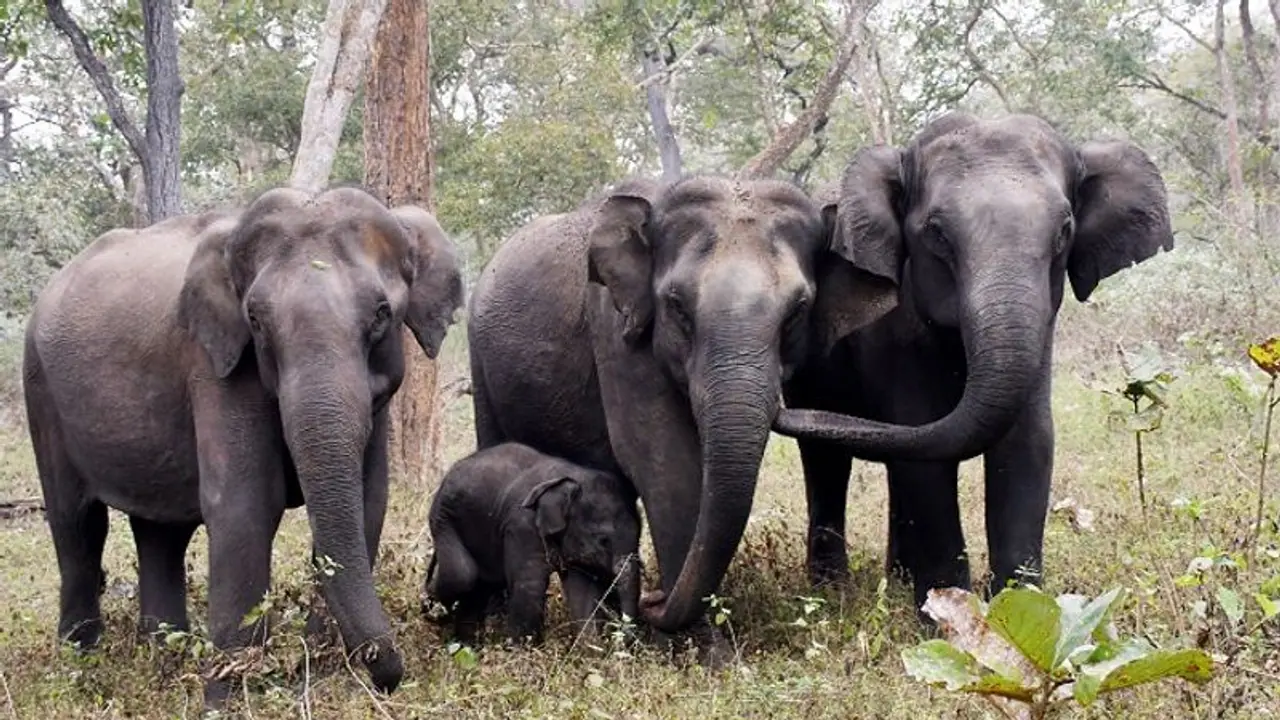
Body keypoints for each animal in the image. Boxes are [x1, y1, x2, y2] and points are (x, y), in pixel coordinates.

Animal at [22, 185, 464, 706]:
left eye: (381, 315)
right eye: (255, 319)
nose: (389, 674)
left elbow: (368, 501)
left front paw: (322, 678)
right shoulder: (217, 366)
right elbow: (246, 506)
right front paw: (230, 700)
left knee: (159, 533)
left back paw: (166, 658)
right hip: (40, 389)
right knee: (77, 523)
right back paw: (81, 665)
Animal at [424, 442, 643, 645]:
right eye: (603, 540)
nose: (620, 641)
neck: (572, 479)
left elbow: (583, 591)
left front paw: (589, 649)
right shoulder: (523, 527)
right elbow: (530, 585)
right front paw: (520, 649)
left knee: (481, 585)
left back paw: (466, 645)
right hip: (443, 517)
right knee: (462, 574)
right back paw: (433, 610)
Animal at [466, 174, 913, 648]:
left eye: (798, 310)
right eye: (677, 305)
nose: (652, 601)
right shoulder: (617, 331)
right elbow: (664, 464)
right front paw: (708, 650)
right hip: (481, 364)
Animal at [771, 112, 1174, 609]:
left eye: (1064, 229)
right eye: (937, 233)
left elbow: (1028, 442)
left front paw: (1020, 604)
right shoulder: (892, 332)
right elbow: (925, 449)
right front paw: (947, 609)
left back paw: (897, 579)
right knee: (828, 461)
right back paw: (833, 593)